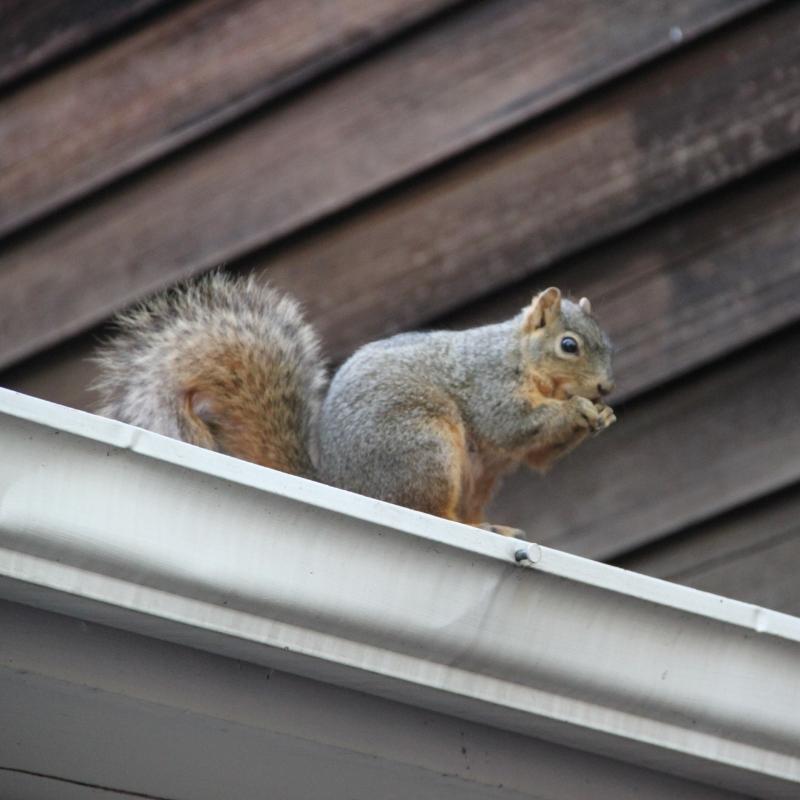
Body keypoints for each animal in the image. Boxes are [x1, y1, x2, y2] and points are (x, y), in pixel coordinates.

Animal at [94, 271, 615, 535]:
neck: (520, 358)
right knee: (425, 509)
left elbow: (537, 455)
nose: (605, 388)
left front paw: (602, 417)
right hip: (423, 447)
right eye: (569, 345)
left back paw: (491, 528)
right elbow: (513, 425)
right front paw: (577, 411)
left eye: (608, 344)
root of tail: (341, 484)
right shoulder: (488, 384)